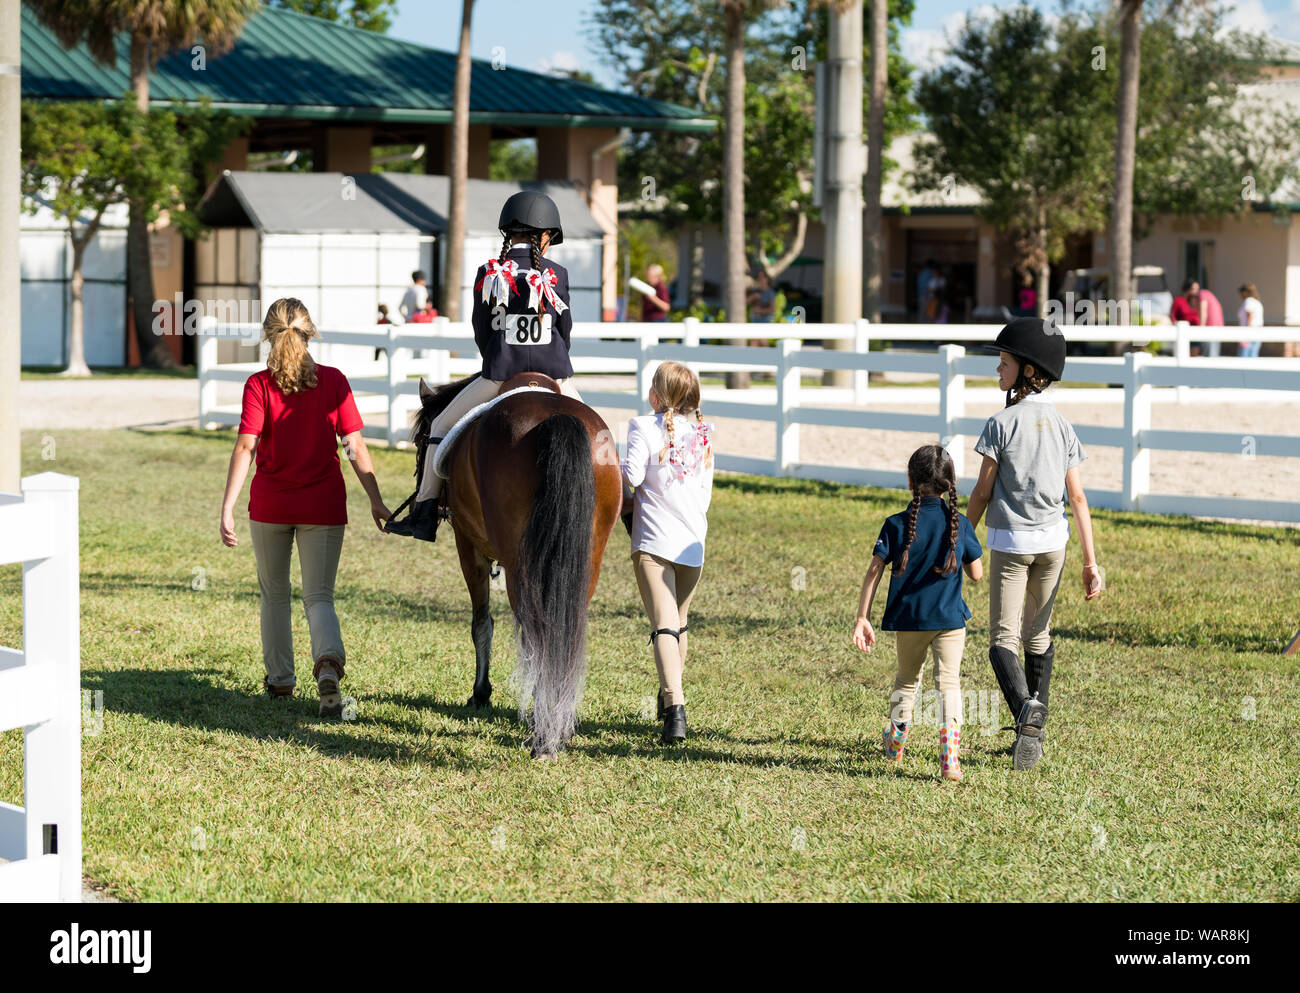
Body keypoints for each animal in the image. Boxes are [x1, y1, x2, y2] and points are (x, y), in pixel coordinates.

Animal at [410, 372, 623, 758]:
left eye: (421, 440)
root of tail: (555, 416)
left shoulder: (468, 546)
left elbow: (482, 624)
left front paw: (481, 694)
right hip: (588, 561)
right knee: (563, 630)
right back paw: (558, 727)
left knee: (535, 633)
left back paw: (542, 734)